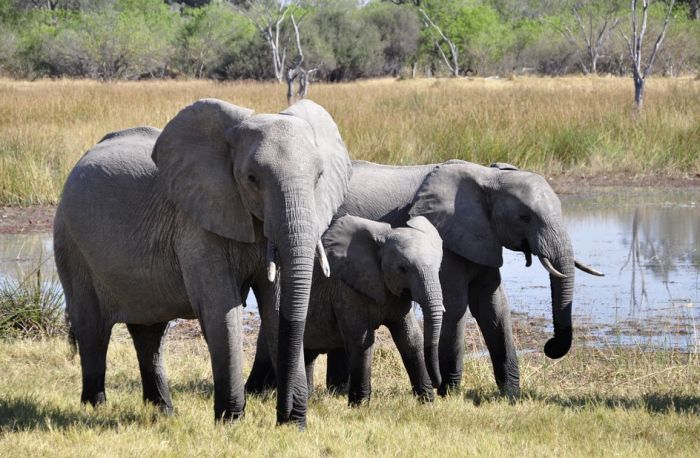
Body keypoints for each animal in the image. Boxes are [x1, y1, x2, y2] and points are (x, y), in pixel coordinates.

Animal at [53, 97, 350, 426]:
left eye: (319, 177)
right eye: (252, 179)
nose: (286, 416)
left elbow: (275, 307)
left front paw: (292, 425)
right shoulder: (196, 225)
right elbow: (221, 309)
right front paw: (231, 422)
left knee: (149, 332)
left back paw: (163, 411)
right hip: (70, 242)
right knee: (92, 328)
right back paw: (95, 407)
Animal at [304, 215, 446, 404]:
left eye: (439, 268)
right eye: (402, 269)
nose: (438, 384)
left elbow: (411, 339)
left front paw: (427, 402)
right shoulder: (346, 289)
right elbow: (361, 340)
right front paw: (360, 405)